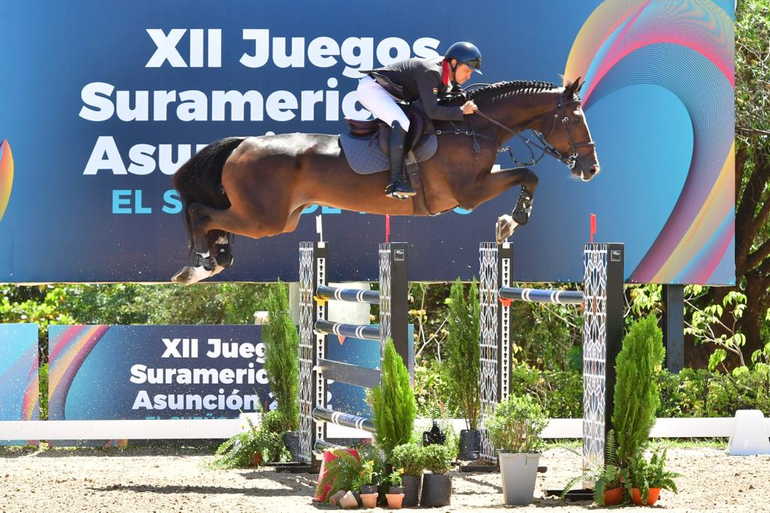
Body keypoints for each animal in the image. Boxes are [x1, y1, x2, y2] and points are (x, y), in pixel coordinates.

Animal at [171, 77, 596, 284]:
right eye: (575, 119)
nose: (591, 169)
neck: (473, 127)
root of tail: (242, 144)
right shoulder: (469, 193)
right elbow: (529, 173)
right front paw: (510, 222)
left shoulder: (478, 182)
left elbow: (529, 176)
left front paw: (508, 223)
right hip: (265, 220)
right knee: (201, 213)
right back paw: (202, 264)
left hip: (278, 219)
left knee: (215, 221)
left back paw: (211, 263)